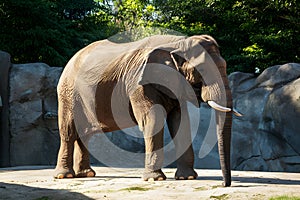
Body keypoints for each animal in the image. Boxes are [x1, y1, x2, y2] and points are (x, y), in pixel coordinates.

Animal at [54, 34, 241, 186]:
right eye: (201, 70)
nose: (225, 184)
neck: (177, 43)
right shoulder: (139, 83)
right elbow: (154, 119)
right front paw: (154, 179)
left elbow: (180, 122)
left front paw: (187, 178)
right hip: (68, 93)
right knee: (69, 131)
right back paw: (65, 176)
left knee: (84, 134)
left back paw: (86, 174)